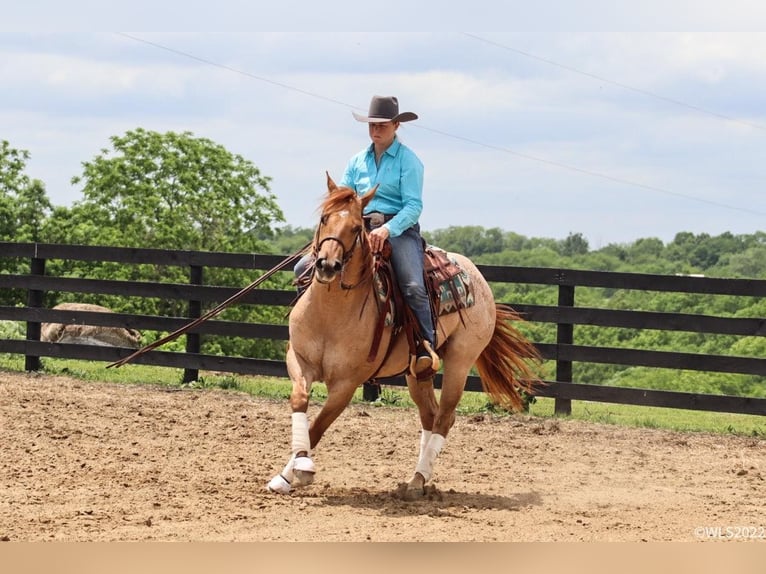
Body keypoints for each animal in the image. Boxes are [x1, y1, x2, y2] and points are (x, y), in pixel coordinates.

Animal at [268, 174, 544, 500]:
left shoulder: (347, 383)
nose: (327, 265)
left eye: (356, 228)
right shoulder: (299, 360)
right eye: (324, 218)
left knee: (444, 417)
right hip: (418, 372)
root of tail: (477, 277)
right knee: (429, 414)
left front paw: (302, 471)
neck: (330, 312)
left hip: (460, 362)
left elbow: (318, 426)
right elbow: (299, 401)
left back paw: (417, 481)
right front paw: (285, 475)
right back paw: (418, 479)